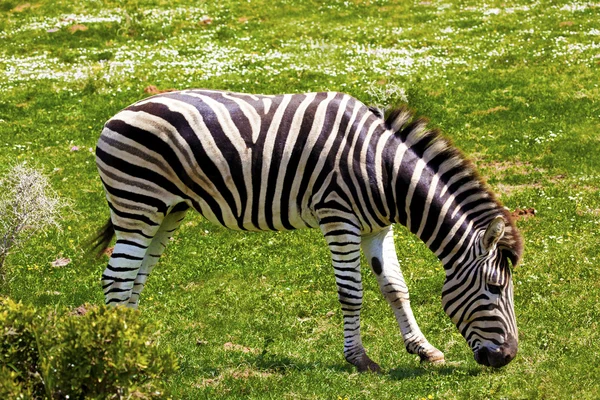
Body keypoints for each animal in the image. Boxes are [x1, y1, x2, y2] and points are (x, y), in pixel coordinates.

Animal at [94, 89, 520, 370]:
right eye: (495, 288)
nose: (507, 358)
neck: (382, 169)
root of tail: (118, 114)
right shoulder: (338, 217)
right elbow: (352, 293)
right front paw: (359, 359)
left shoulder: (378, 227)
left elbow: (396, 288)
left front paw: (423, 349)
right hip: (138, 206)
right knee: (116, 278)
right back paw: (119, 354)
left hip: (167, 212)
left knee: (136, 277)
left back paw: (136, 342)